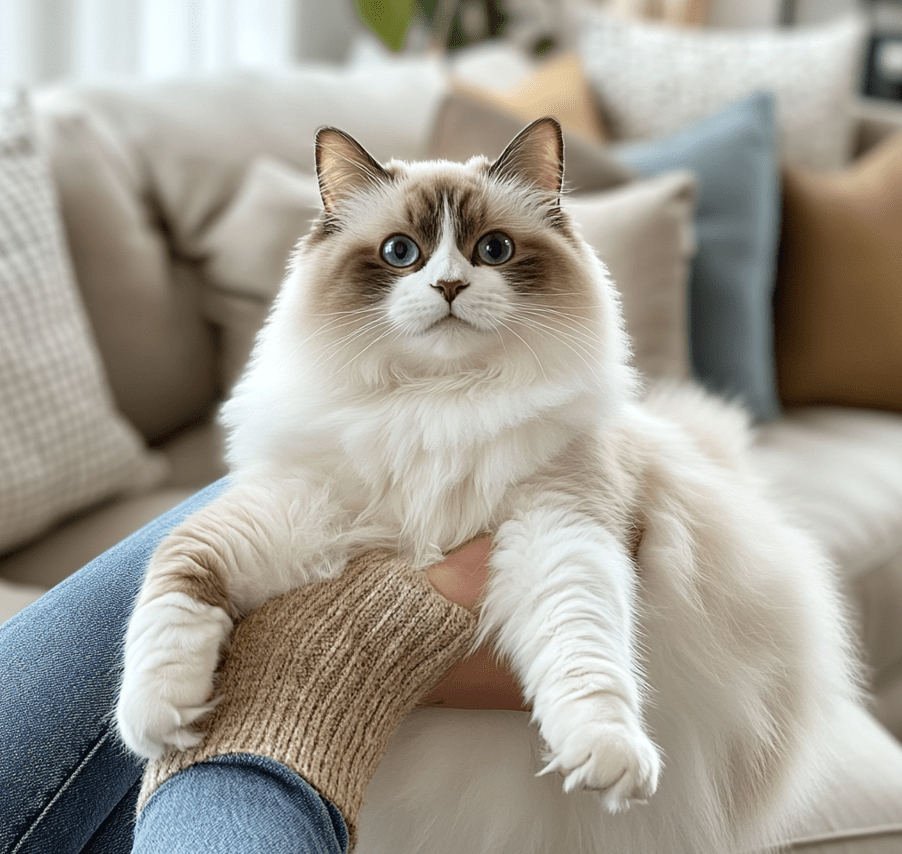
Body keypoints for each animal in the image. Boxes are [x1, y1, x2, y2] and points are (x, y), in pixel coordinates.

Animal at [118, 118, 860, 854]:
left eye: (493, 250)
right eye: (400, 252)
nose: (449, 286)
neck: (442, 405)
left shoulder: (561, 526)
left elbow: (584, 649)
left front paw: (606, 755)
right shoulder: (302, 507)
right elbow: (181, 570)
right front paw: (161, 715)